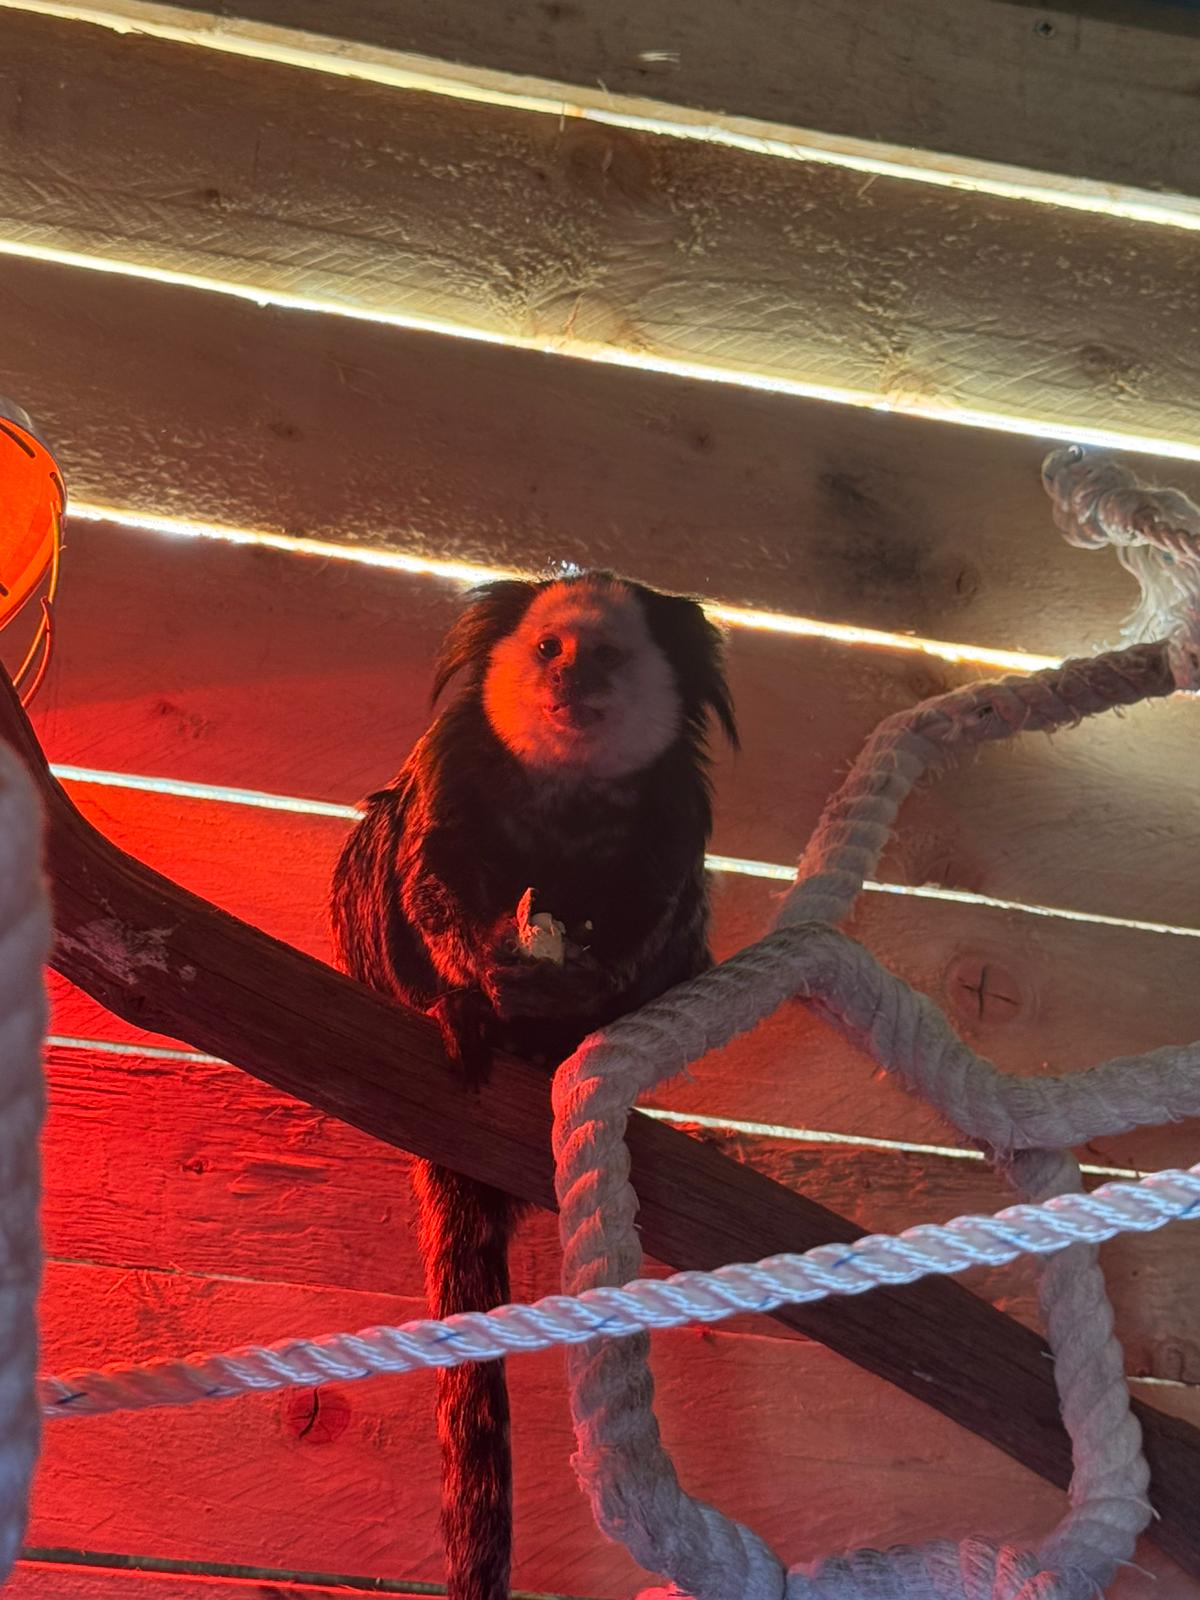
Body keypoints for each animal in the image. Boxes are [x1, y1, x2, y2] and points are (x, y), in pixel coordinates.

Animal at [329, 571, 737, 1600]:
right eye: (552, 649)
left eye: (609, 655)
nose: (573, 681)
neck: (569, 789)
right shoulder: (452, 760)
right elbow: (427, 860)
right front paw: (480, 981)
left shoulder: (677, 807)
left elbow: (664, 903)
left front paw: (578, 990)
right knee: (377, 839)